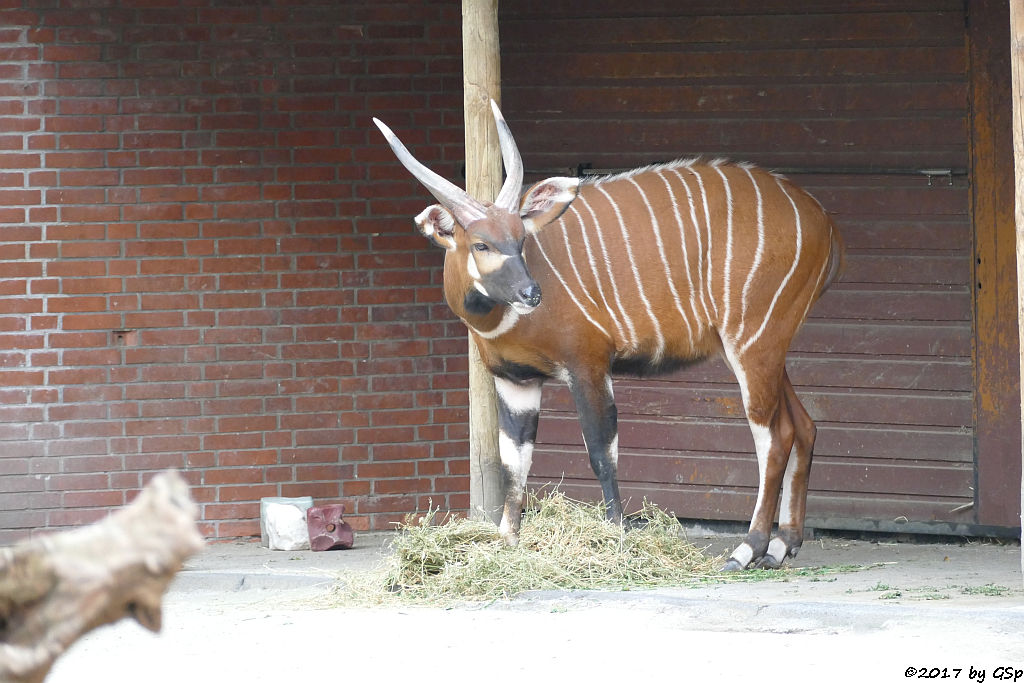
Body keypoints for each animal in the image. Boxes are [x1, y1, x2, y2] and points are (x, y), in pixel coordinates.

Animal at [374, 102, 839, 573]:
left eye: (521, 239)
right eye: (481, 244)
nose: (531, 292)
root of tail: (824, 221)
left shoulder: (589, 365)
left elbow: (601, 450)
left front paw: (615, 536)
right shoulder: (515, 380)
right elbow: (514, 462)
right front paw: (507, 543)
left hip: (753, 339)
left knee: (773, 437)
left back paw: (747, 548)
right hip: (757, 346)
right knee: (802, 425)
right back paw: (782, 545)